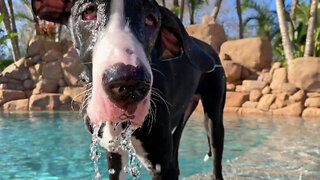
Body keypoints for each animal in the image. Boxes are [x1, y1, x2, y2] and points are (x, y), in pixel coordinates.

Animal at [31, 0, 225, 179]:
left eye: (150, 19)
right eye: (88, 12)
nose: (129, 83)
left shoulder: (160, 164)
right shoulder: (114, 154)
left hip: (214, 121)